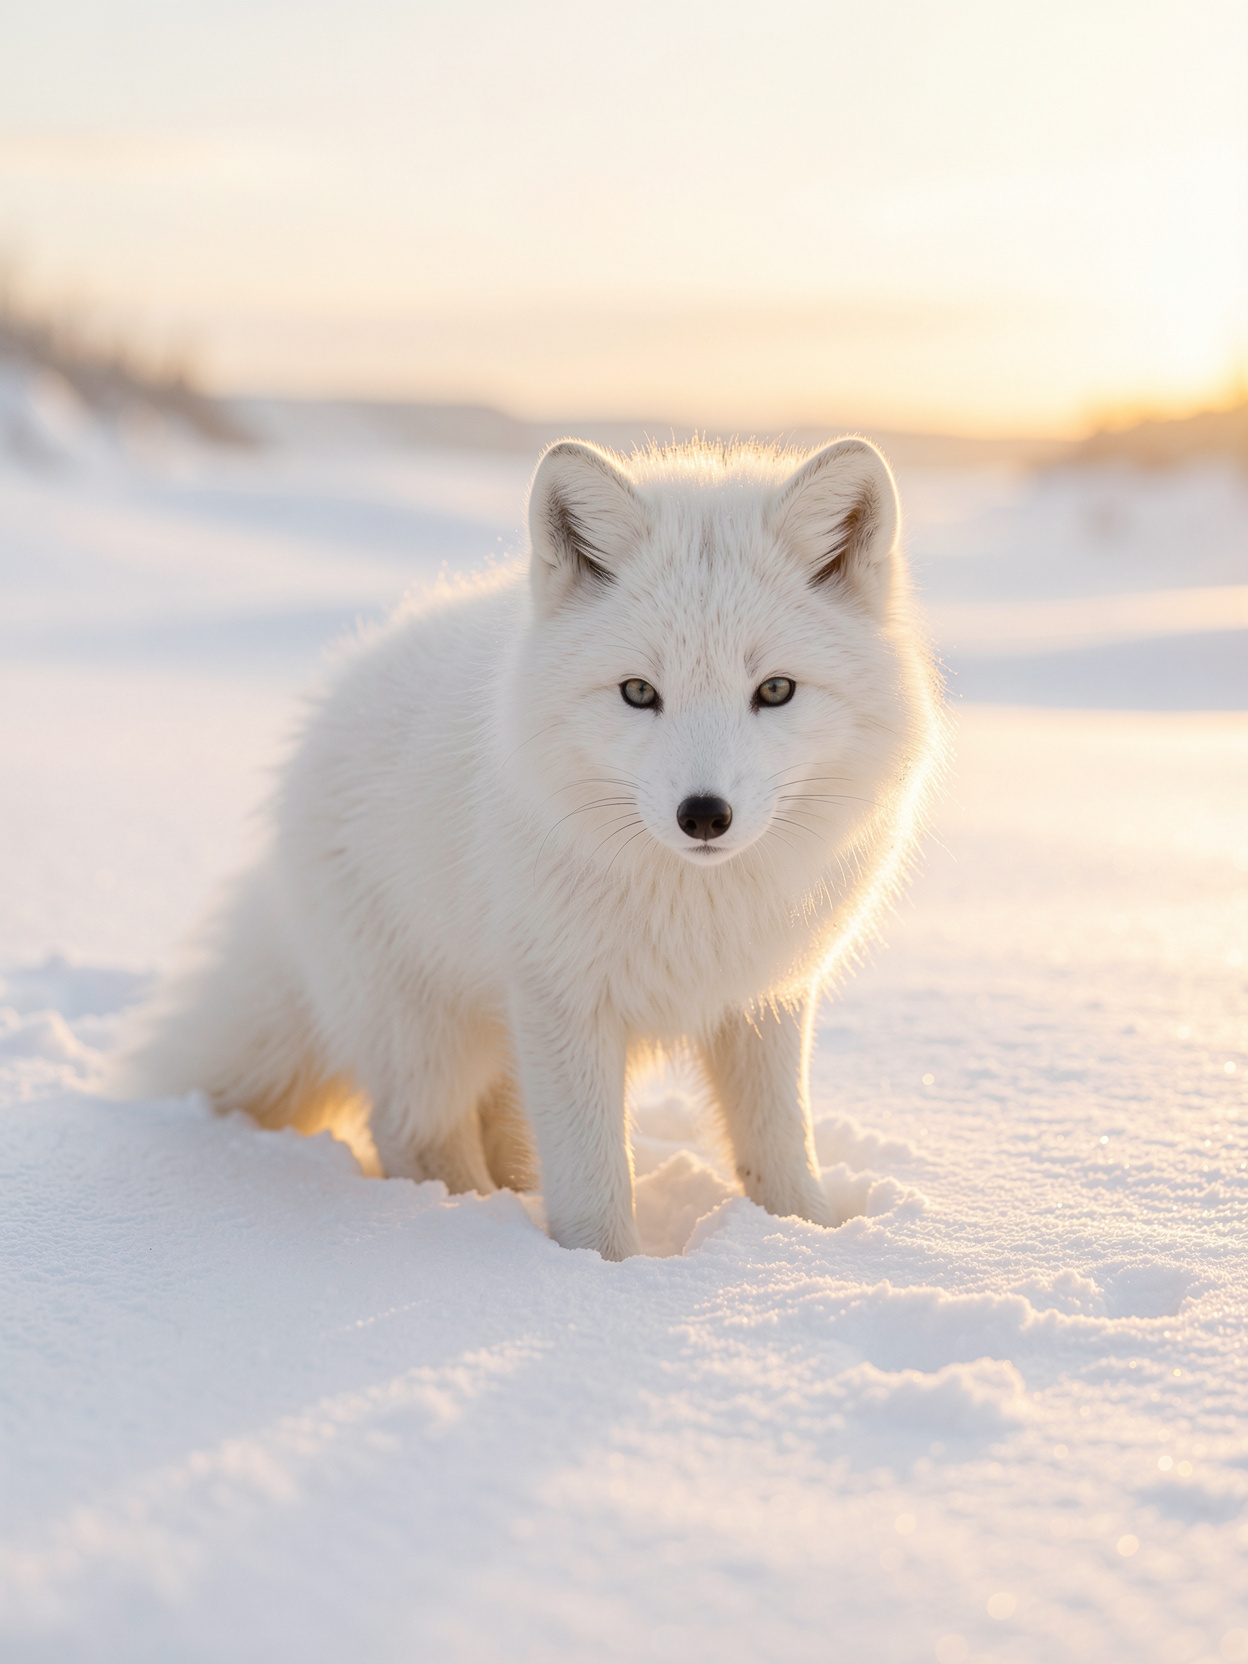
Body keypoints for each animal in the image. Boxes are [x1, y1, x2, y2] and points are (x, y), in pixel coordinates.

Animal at [119, 436, 943, 1260]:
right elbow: (592, 1178)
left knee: (499, 1128)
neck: (694, 906)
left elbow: (778, 1142)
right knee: (415, 1133)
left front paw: (806, 1238)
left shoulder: (763, 997)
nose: (704, 815)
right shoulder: (562, 996)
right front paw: (602, 1270)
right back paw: (475, 1222)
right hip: (427, 1031)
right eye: (639, 692)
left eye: (775, 690)